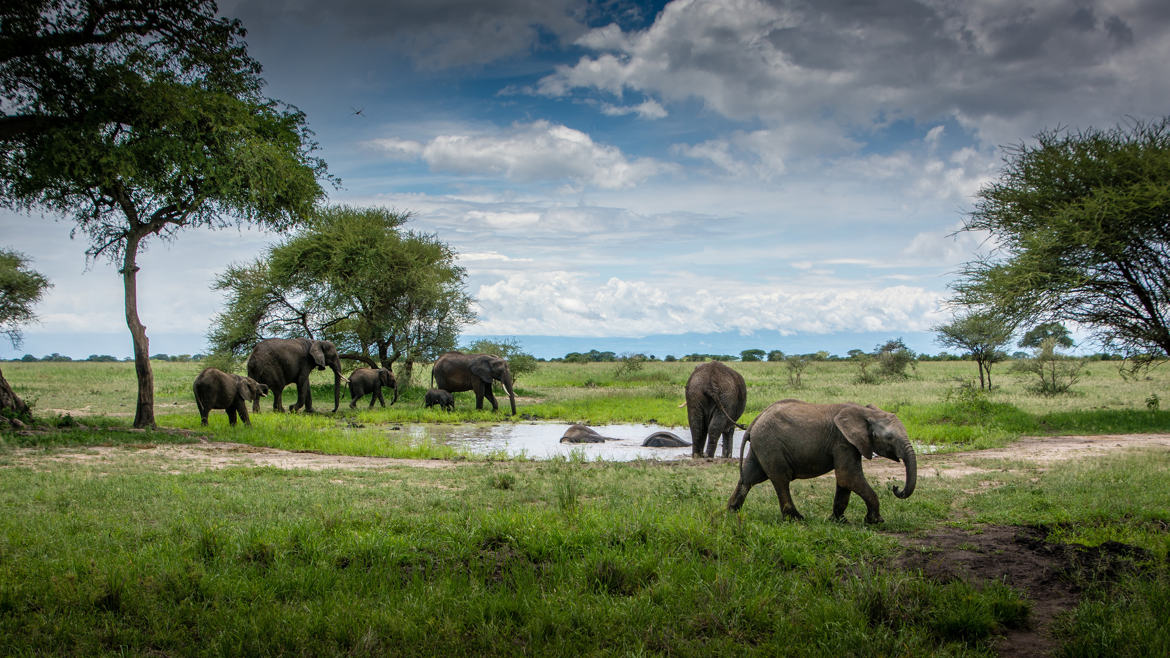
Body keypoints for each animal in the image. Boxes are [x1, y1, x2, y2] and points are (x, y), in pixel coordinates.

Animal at [725, 393, 917, 522]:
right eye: (890, 438)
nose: (896, 487)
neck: (865, 412)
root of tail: (754, 422)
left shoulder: (848, 443)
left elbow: (844, 482)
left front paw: (839, 521)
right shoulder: (843, 441)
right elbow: (849, 477)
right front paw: (875, 521)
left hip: (761, 445)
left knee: (749, 477)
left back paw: (732, 512)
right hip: (770, 444)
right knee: (781, 479)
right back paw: (796, 519)